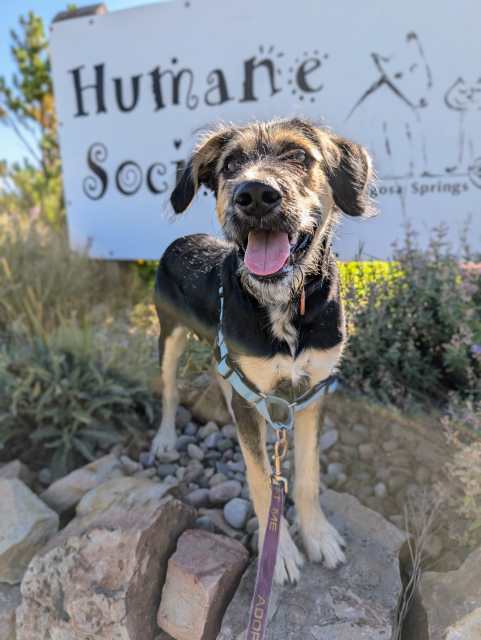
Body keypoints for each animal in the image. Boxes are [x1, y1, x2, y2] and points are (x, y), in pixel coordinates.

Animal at [152, 117, 374, 584]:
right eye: (230, 164)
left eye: (299, 156)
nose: (254, 194)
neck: (284, 303)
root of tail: (182, 238)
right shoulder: (251, 388)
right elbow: (259, 478)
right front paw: (282, 553)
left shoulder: (312, 391)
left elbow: (307, 475)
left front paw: (317, 535)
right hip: (169, 338)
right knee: (169, 392)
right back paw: (164, 438)